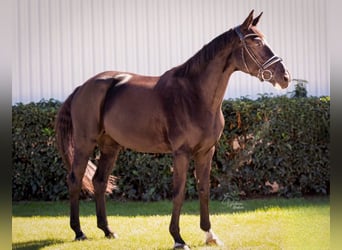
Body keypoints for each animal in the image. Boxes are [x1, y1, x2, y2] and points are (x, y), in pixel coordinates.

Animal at [54, 10, 290, 250]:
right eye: (257, 41)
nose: (285, 77)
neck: (195, 95)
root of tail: (82, 88)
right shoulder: (181, 153)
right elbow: (179, 192)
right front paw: (178, 238)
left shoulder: (206, 152)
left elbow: (204, 190)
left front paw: (209, 234)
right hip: (84, 143)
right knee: (75, 179)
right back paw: (79, 232)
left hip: (110, 146)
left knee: (99, 182)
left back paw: (107, 230)